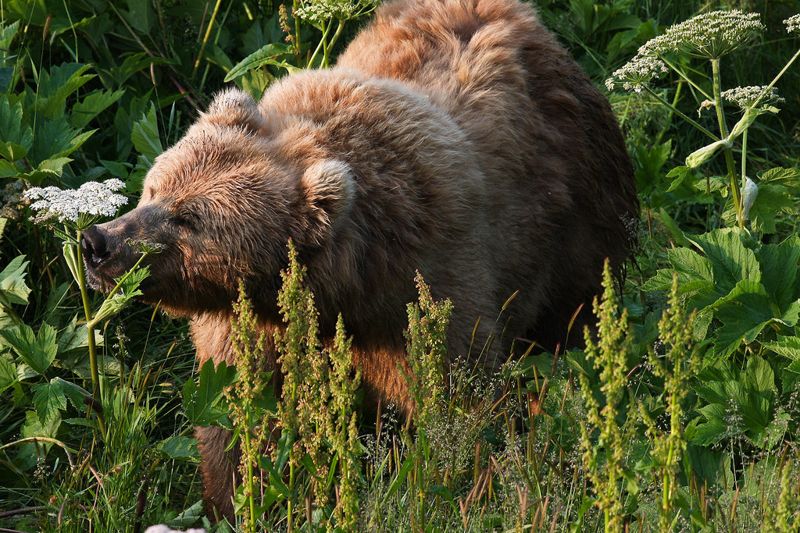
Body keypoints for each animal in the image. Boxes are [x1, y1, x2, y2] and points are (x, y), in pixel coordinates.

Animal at [82, 0, 637, 521]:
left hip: (577, 222)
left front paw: (465, 487)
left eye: (186, 219)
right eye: (155, 190)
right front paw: (231, 498)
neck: (343, 284)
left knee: (569, 328)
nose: (97, 242)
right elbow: (236, 416)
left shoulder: (428, 289)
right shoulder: (247, 326)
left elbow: (456, 400)